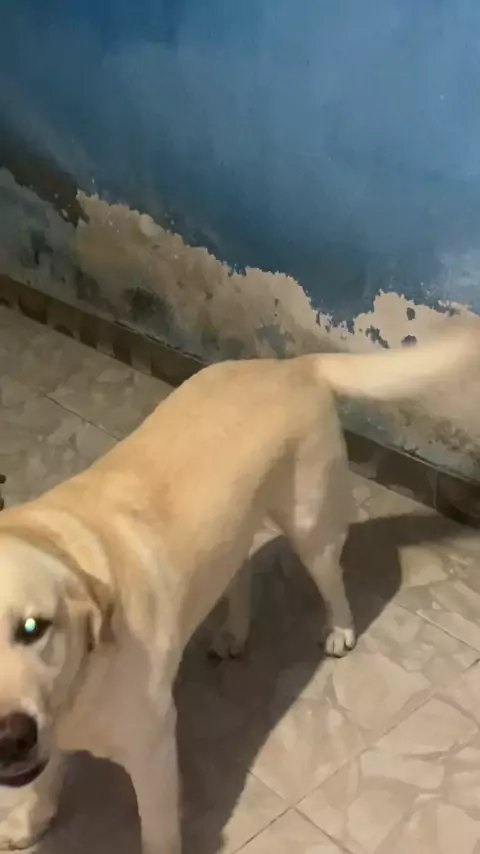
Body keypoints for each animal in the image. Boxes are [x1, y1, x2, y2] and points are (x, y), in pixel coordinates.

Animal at [0, 322, 477, 852]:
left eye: (32, 627)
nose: (9, 739)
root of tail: (293, 366)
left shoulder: (152, 749)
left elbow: (157, 831)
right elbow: (44, 778)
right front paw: (30, 821)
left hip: (310, 527)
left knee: (331, 580)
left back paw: (339, 630)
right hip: (232, 530)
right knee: (240, 572)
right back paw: (234, 632)